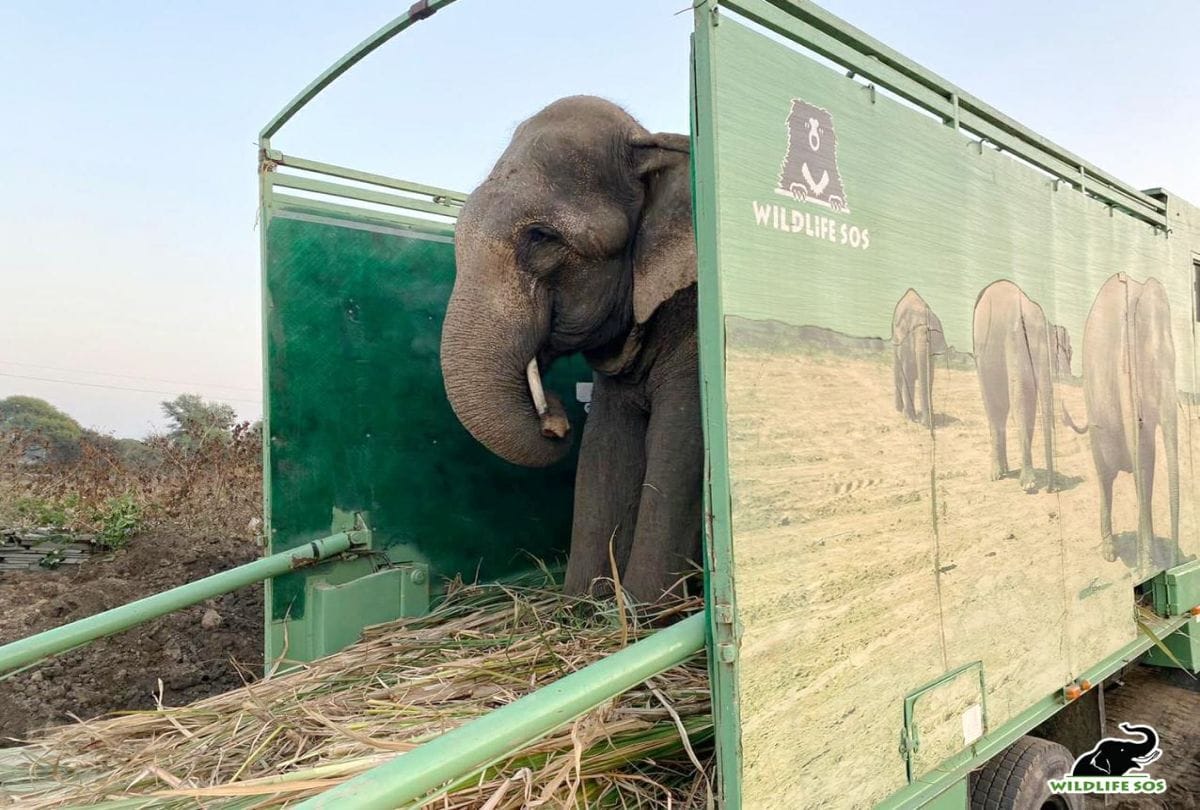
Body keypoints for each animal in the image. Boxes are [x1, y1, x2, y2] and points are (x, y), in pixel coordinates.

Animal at [440, 96, 700, 604]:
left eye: (541, 237)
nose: (556, 420)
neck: (652, 141)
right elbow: (606, 449)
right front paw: (585, 604)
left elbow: (679, 440)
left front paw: (644, 613)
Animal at [892, 289, 946, 428]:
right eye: (912, 334)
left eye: (931, 335)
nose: (925, 424)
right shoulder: (904, 345)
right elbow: (907, 375)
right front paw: (910, 418)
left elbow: (929, 376)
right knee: (898, 373)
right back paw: (899, 410)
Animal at [972, 280, 1073, 493]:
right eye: (1030, 348)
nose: (1053, 489)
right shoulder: (1013, 341)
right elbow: (1019, 400)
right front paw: (1029, 485)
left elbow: (1028, 404)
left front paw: (1028, 481)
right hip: (982, 356)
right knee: (993, 404)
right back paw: (996, 474)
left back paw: (1005, 470)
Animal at [1063, 273, 1179, 568]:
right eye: (1149, 370)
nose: (1176, 562)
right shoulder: (1123, 375)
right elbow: (1143, 461)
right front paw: (1147, 565)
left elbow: (1146, 464)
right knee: (1105, 479)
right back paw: (1109, 552)